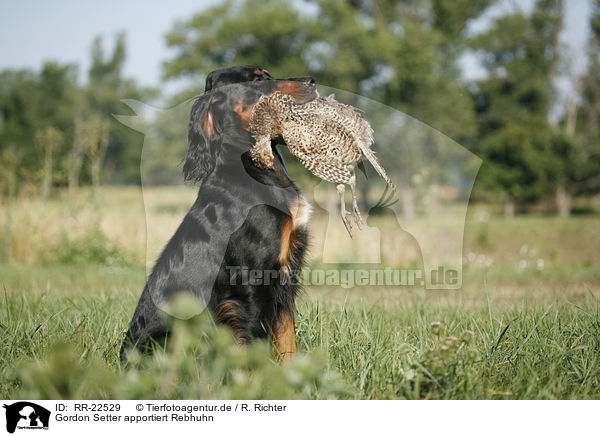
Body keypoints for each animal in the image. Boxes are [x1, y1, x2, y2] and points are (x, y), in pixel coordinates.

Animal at [122, 66, 318, 362]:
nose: (312, 81)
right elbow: (259, 342)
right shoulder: (255, 281)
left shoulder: (285, 276)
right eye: (257, 79)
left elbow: (287, 340)